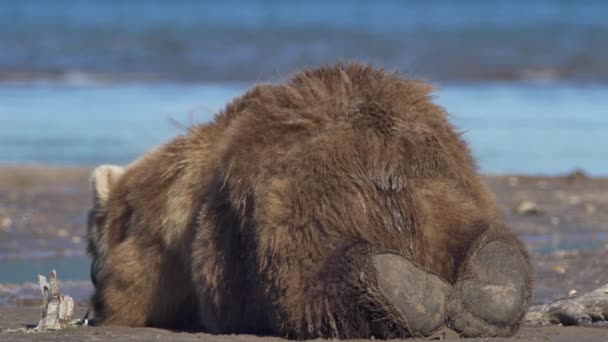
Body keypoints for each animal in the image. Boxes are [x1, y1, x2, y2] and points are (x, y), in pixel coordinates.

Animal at [86, 62, 532, 338]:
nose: (91, 272)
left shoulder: (159, 244)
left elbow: (134, 287)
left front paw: (104, 308)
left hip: (291, 206)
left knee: (310, 276)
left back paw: (400, 288)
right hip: (447, 184)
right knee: (476, 229)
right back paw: (492, 276)